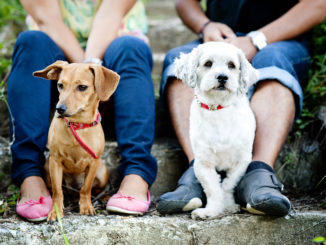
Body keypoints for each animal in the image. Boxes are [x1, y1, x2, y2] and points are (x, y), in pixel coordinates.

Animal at [33, 60, 119, 221]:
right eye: (60, 85)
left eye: (82, 87)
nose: (59, 109)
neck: (77, 124)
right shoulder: (55, 161)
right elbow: (57, 191)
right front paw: (55, 211)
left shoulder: (93, 162)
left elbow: (86, 188)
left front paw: (86, 206)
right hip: (47, 167)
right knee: (59, 189)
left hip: (102, 172)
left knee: (93, 188)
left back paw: (104, 197)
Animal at [174, 41, 258, 219]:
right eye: (208, 64)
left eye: (231, 65)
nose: (222, 77)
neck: (218, 109)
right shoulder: (203, 163)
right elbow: (213, 188)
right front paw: (211, 211)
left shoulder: (242, 160)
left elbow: (227, 185)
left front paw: (229, 205)